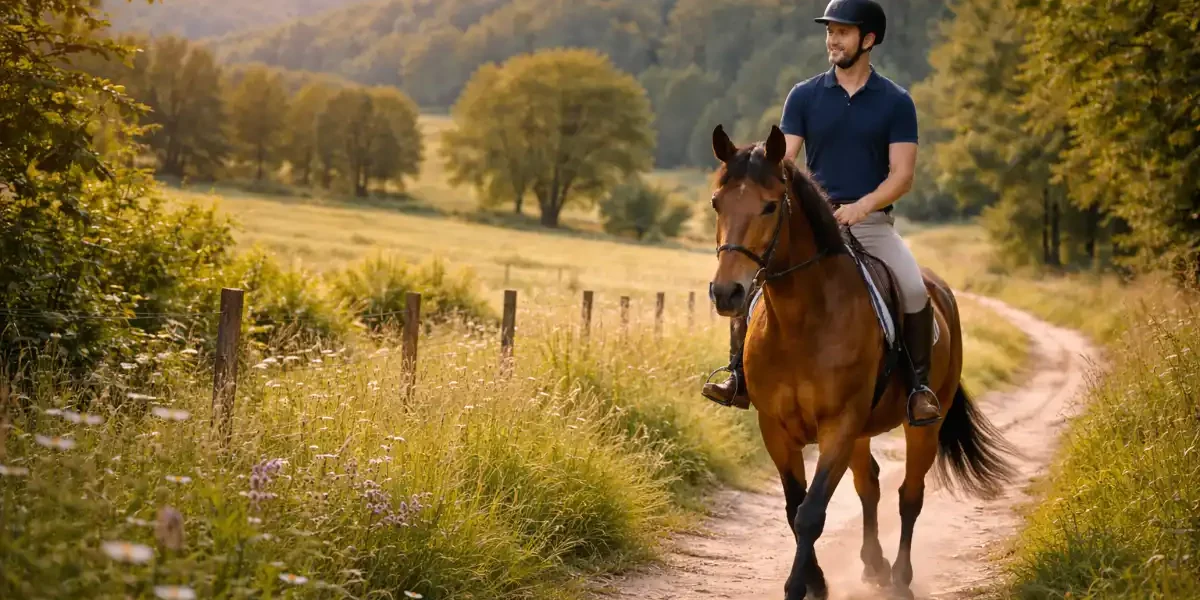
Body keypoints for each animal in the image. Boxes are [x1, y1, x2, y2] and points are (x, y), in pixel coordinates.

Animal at [705, 124, 1018, 599]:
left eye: (770, 205)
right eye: (716, 203)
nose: (727, 294)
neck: (802, 320)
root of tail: (940, 291)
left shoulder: (839, 424)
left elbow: (811, 513)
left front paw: (800, 586)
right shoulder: (775, 427)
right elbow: (794, 506)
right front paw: (815, 581)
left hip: (921, 425)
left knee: (909, 495)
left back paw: (900, 579)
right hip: (861, 431)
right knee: (868, 485)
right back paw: (874, 565)